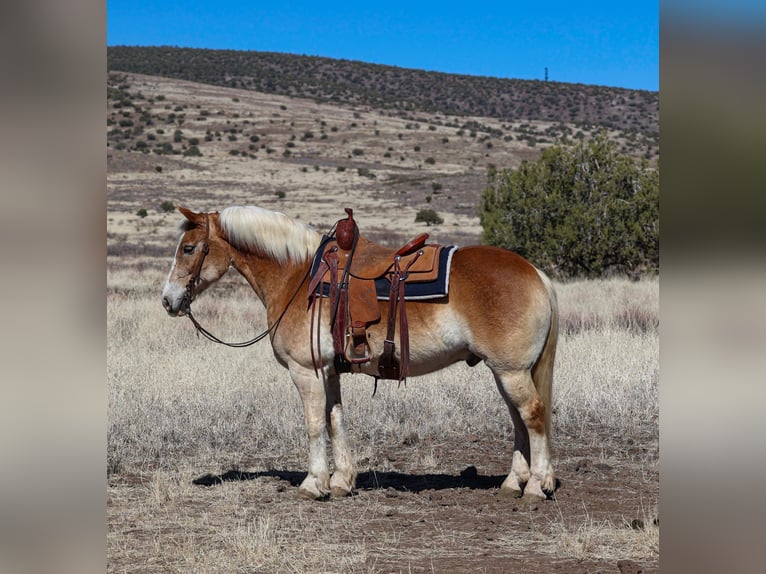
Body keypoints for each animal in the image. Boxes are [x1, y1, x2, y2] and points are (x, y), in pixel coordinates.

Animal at [162, 205, 560, 502]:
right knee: (518, 420)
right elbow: (335, 419)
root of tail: (536, 274)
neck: (297, 277)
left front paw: (313, 483)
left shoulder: (305, 371)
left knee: (533, 415)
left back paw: (536, 486)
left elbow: (313, 424)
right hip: (505, 372)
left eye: (188, 248)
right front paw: (341, 481)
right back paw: (513, 483)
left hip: (511, 371)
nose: (168, 300)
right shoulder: (329, 371)